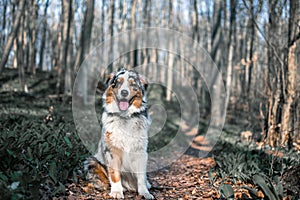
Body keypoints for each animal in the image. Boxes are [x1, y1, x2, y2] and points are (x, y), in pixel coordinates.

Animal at [85, 68, 154, 199]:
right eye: (118, 82)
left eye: (133, 84)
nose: (124, 92)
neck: (125, 117)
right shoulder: (112, 150)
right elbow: (114, 174)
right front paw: (117, 192)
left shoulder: (140, 152)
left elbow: (141, 176)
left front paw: (144, 192)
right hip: (91, 161)